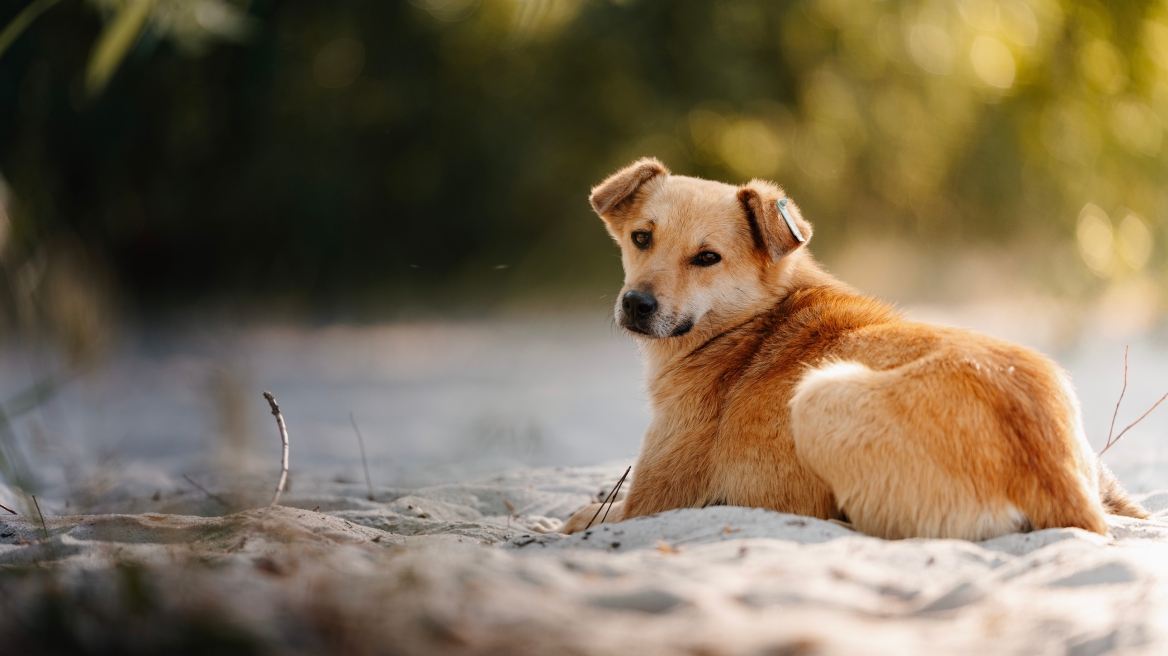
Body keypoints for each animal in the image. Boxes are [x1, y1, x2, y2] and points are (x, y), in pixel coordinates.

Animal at [565, 157, 1149, 536]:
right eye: (642, 238)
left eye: (707, 258)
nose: (636, 303)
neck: (754, 320)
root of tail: (1052, 479)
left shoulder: (649, 502)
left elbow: (579, 517)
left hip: (819, 395)